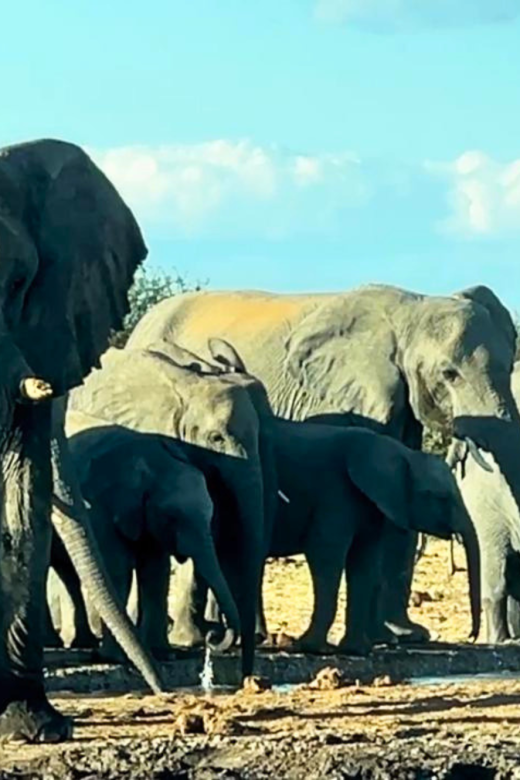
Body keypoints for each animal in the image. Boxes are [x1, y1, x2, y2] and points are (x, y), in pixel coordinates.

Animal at [46, 420, 240, 661]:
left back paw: (83, 643)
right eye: (171, 517)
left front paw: (162, 654)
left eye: (210, 513)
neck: (147, 462)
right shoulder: (100, 510)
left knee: (68, 572)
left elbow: (155, 572)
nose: (213, 637)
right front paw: (114, 658)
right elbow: (117, 568)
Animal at [126, 284, 519, 645]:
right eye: (449, 374)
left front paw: (403, 636)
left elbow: (395, 514)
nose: (472, 636)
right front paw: (391, 637)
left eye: (508, 368)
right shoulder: (348, 399)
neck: (413, 308)